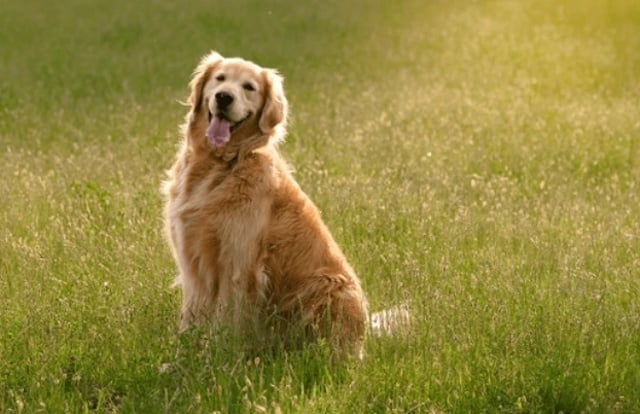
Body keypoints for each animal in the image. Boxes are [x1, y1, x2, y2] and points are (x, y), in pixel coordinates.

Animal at [162, 51, 368, 356]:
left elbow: (225, 321)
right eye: (219, 78)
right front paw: (182, 358)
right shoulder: (192, 260)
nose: (224, 97)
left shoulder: (237, 263)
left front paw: (216, 357)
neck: (222, 165)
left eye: (249, 87)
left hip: (328, 286)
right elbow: (190, 318)